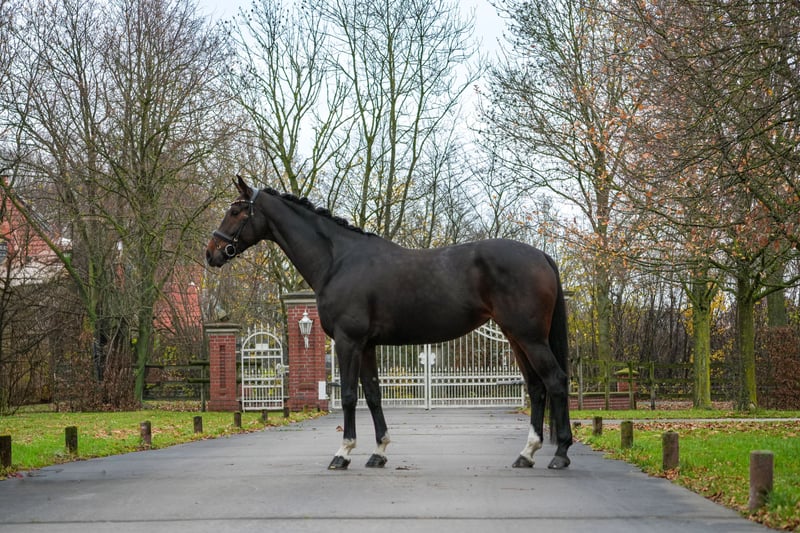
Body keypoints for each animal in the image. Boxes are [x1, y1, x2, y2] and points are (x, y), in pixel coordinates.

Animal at [206, 176, 573, 470]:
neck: (338, 260)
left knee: (555, 381)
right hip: (516, 337)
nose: (211, 253)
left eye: (236, 211)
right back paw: (526, 454)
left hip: (530, 337)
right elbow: (372, 395)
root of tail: (541, 255)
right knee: (537, 388)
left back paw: (560, 454)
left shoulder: (348, 341)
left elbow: (349, 395)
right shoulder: (367, 345)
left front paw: (343, 453)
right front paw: (379, 452)